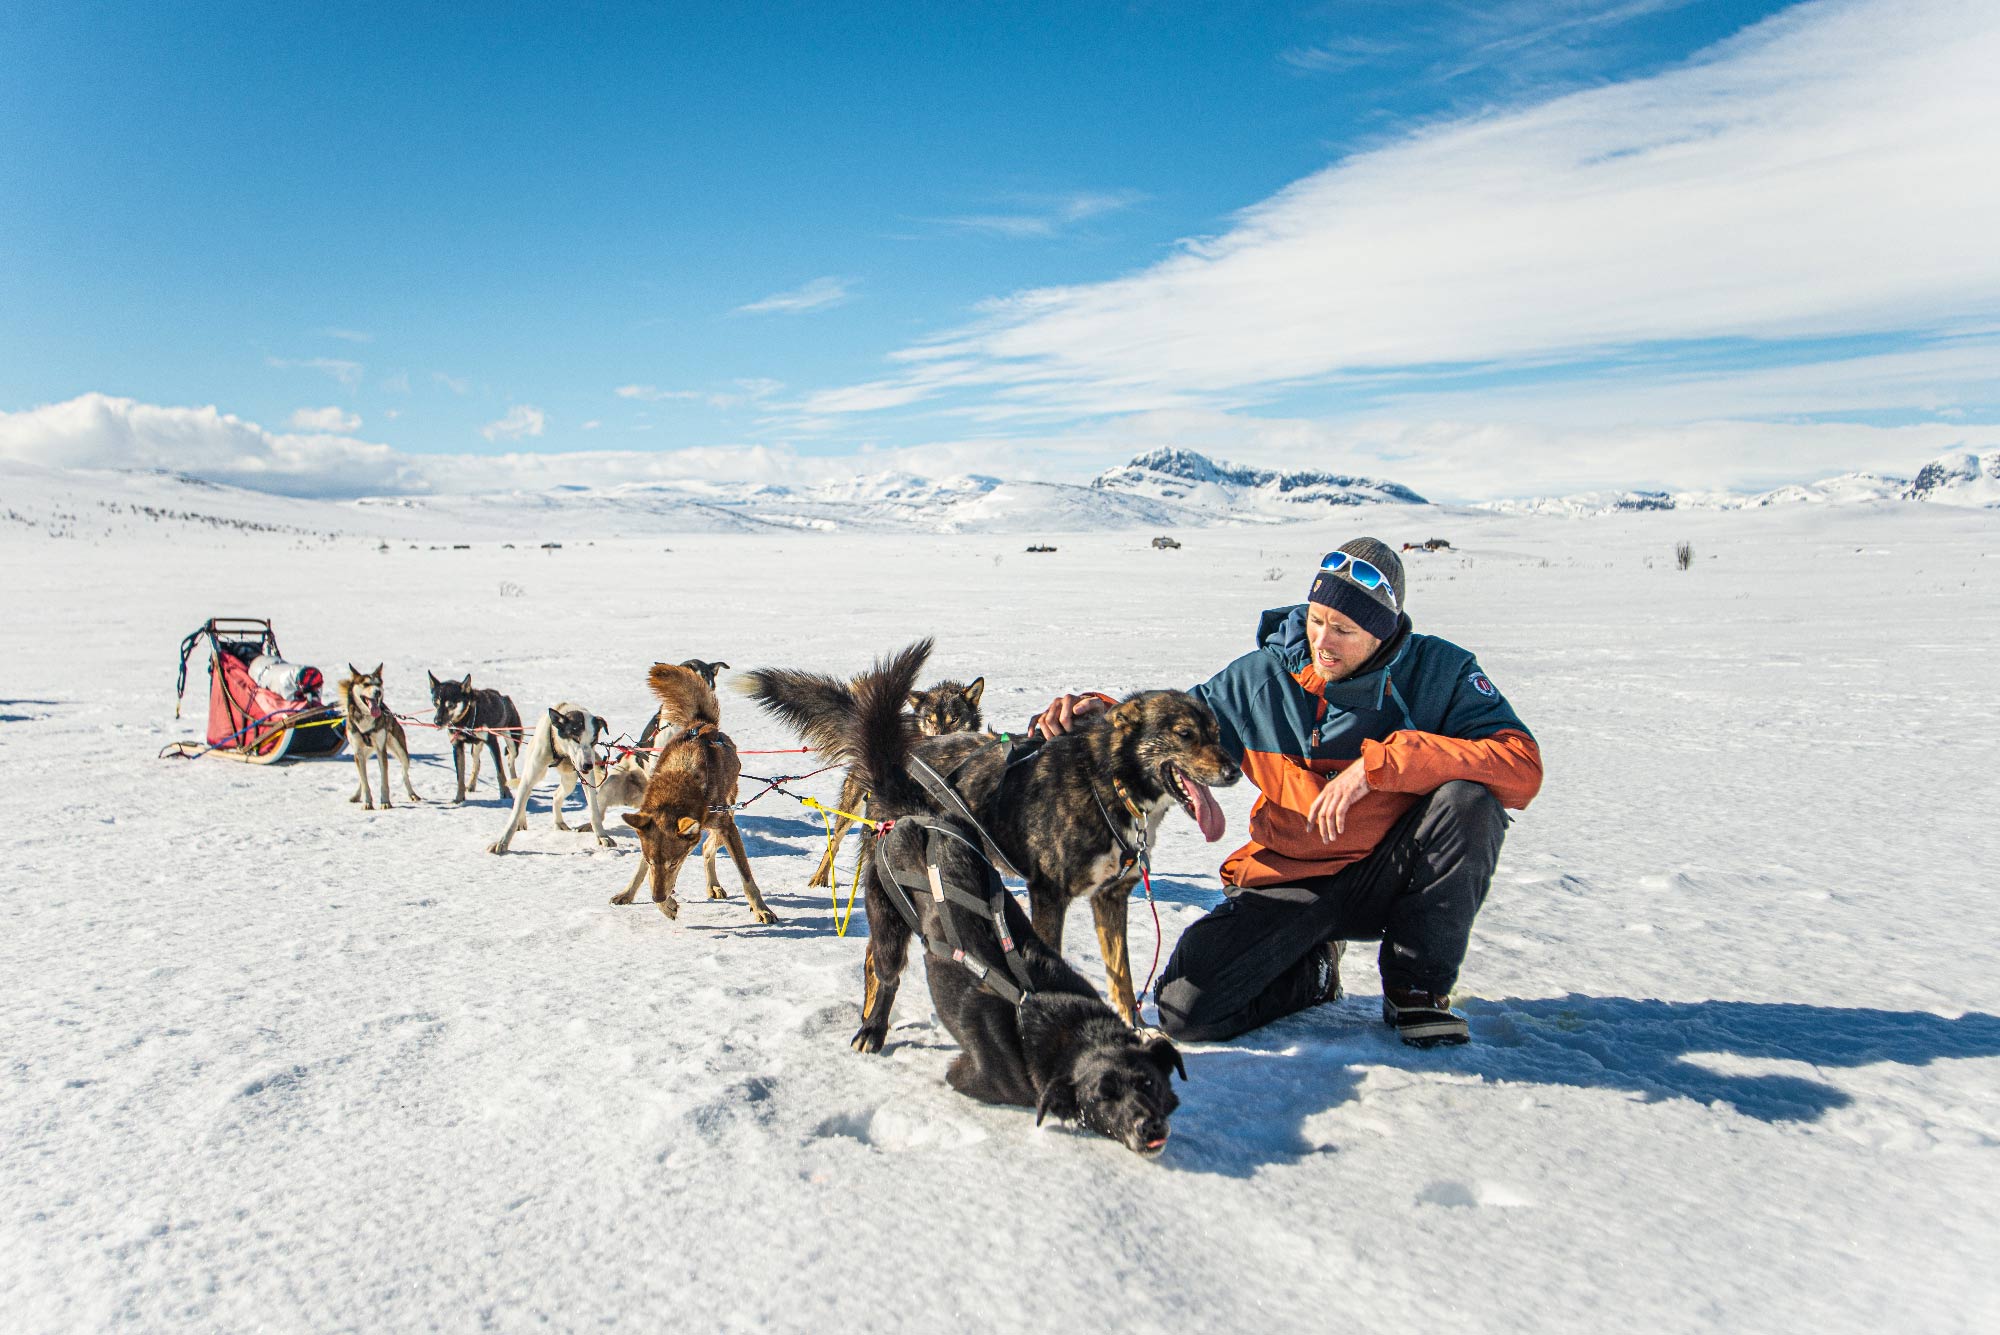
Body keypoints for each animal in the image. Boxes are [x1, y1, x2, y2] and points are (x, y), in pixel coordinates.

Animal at [486, 699, 616, 855]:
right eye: (575, 738)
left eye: (594, 740)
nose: (587, 765)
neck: (562, 752)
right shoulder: (531, 775)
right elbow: (515, 811)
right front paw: (502, 842)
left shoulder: (588, 779)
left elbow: (594, 811)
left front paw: (602, 836)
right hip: (535, 774)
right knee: (523, 797)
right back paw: (522, 821)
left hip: (570, 781)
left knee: (556, 795)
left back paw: (559, 822)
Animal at [608, 663, 772, 923]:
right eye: (652, 861)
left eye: (673, 862)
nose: (656, 897)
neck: (681, 777)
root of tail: (702, 724)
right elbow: (647, 873)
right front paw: (663, 903)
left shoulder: (726, 826)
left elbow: (746, 877)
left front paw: (761, 908)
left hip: (728, 812)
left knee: (707, 847)